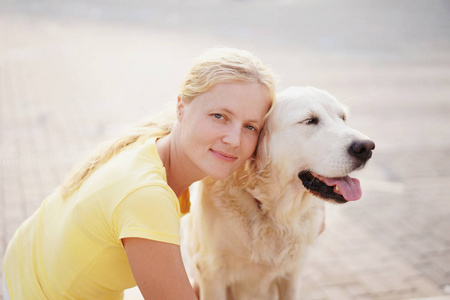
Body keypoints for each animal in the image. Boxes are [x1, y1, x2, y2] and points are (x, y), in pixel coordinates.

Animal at [181, 86, 374, 300]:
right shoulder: (212, 273)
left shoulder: (292, 274)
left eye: (343, 118)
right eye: (310, 120)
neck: (273, 214)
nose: (367, 147)